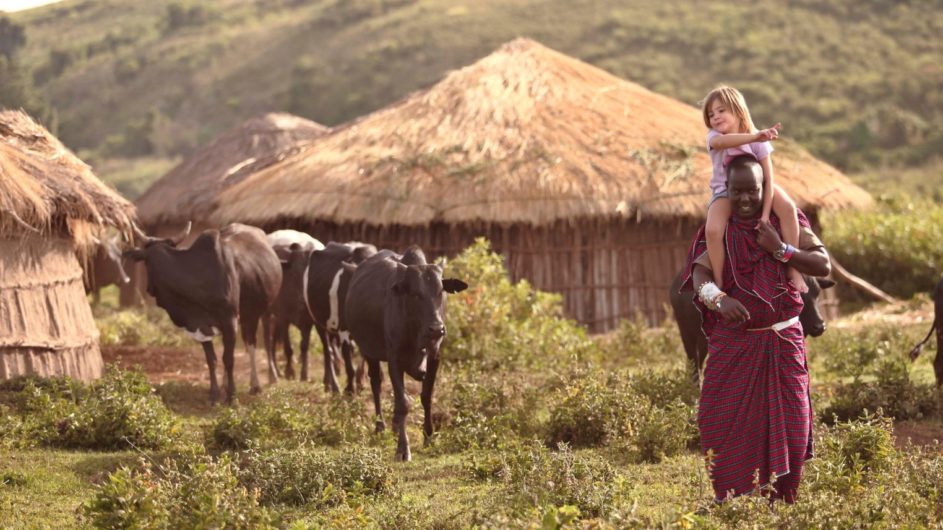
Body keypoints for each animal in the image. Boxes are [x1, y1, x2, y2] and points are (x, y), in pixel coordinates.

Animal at [125, 222, 282, 400]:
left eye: (146, 263)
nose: (149, 289)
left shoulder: (230, 321)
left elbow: (229, 359)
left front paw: (231, 396)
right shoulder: (200, 325)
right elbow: (212, 360)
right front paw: (215, 393)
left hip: (257, 314)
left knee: (252, 344)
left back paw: (255, 385)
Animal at [266, 227, 324, 380]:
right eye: (295, 273)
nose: (303, 298)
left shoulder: (308, 322)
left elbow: (304, 346)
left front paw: (305, 374)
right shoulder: (283, 317)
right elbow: (288, 347)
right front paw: (289, 371)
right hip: (267, 314)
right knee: (269, 341)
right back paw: (273, 373)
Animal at [304, 241, 374, 390]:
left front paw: (360, 382)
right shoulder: (343, 330)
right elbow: (348, 363)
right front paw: (349, 389)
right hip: (319, 323)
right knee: (328, 351)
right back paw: (332, 385)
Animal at [344, 245, 466, 460]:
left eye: (440, 291)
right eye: (416, 294)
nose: (436, 329)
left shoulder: (435, 357)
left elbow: (426, 396)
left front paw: (429, 436)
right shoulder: (395, 359)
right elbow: (403, 403)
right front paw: (403, 449)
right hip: (369, 352)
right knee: (376, 384)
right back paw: (380, 427)